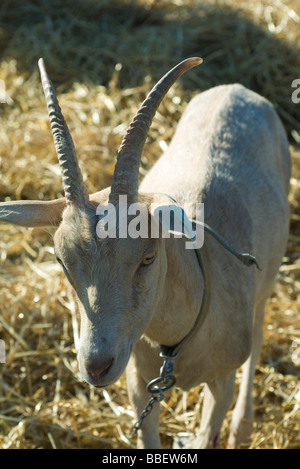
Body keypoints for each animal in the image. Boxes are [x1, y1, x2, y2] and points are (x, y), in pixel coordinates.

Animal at [0, 56, 290, 448]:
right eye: (61, 260)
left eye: (148, 257)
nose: (96, 366)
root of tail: (237, 89)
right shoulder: (138, 381)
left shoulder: (222, 381)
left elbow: (210, 426)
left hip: (267, 279)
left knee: (258, 333)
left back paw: (242, 426)